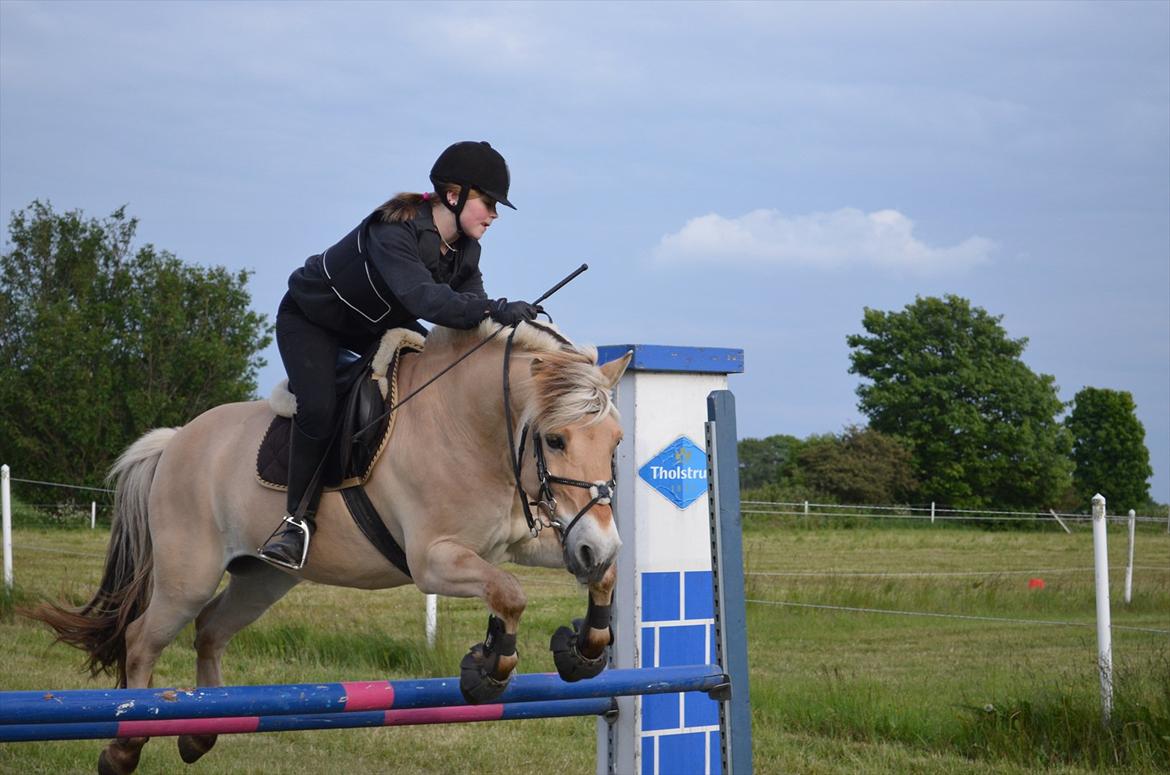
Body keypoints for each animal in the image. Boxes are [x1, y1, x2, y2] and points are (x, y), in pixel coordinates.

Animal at [27, 320, 631, 775]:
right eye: (554, 439)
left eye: (616, 442)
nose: (597, 545)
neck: (472, 427)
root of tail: (175, 441)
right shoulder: (433, 560)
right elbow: (509, 592)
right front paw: (490, 669)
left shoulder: (533, 537)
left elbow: (598, 576)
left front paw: (583, 649)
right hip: (186, 577)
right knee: (141, 640)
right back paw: (124, 747)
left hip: (264, 577)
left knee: (211, 630)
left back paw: (203, 732)